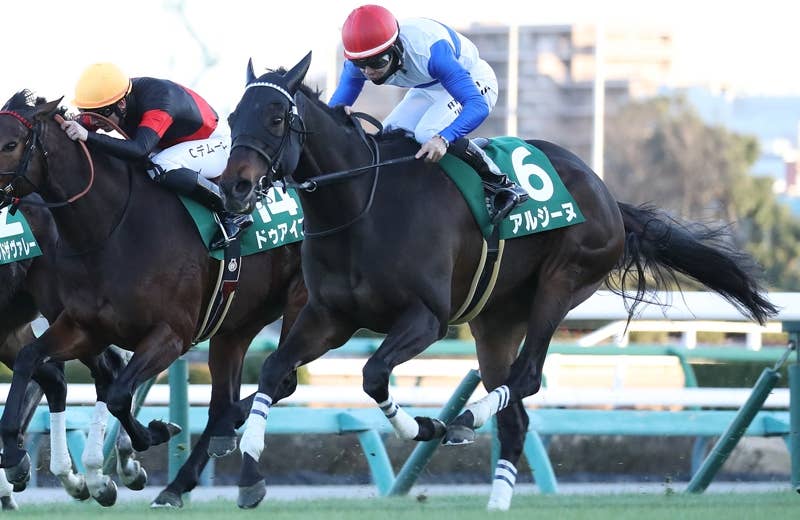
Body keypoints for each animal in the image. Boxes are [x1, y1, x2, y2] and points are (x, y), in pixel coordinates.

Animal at [0, 91, 306, 508]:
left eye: (11, 144)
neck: (111, 228)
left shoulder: (171, 335)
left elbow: (118, 394)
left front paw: (151, 438)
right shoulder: (83, 327)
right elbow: (34, 361)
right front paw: (15, 455)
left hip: (300, 303)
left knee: (279, 381)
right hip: (236, 323)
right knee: (226, 398)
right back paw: (180, 476)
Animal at [217, 53, 777, 510]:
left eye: (276, 118)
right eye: (231, 117)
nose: (235, 187)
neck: (361, 204)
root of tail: (607, 196)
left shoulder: (427, 319)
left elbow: (373, 374)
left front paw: (425, 424)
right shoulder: (330, 316)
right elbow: (275, 371)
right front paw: (249, 469)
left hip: (563, 281)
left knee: (525, 377)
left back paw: (467, 419)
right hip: (495, 320)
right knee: (516, 415)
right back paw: (496, 494)